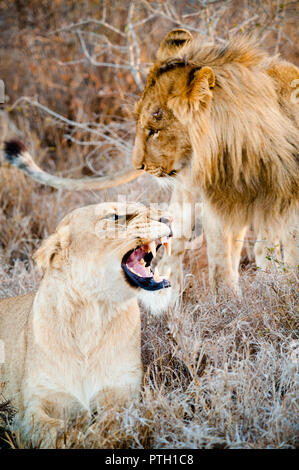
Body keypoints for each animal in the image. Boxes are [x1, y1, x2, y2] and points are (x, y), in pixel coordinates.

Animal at [0, 201, 173, 444]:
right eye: (114, 217)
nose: (169, 218)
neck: (91, 313)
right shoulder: (35, 403)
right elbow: (46, 429)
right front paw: (70, 436)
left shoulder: (123, 394)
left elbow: (109, 424)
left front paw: (87, 436)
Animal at [2, 31, 299, 292]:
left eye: (155, 130)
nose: (138, 166)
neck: (242, 155)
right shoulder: (220, 206)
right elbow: (220, 267)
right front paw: (227, 304)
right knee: (173, 252)